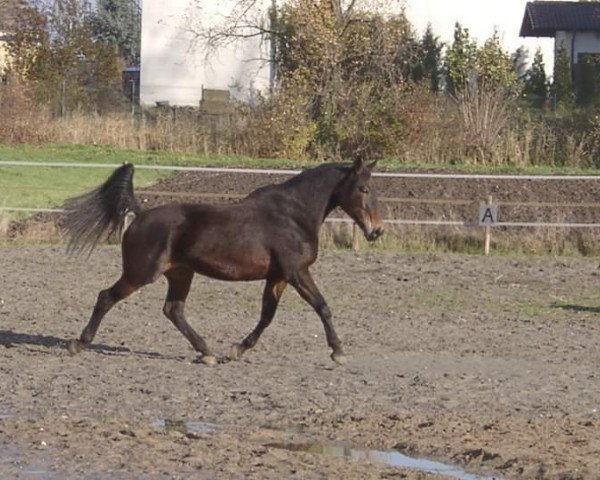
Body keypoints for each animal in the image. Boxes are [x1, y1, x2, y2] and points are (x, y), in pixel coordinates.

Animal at [63, 158, 384, 364]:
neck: (294, 214)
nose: (377, 230)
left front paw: (236, 350)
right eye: (364, 189)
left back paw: (207, 353)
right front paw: (338, 352)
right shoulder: (296, 272)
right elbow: (322, 306)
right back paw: (78, 343)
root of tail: (140, 214)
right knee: (106, 297)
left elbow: (267, 316)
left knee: (173, 310)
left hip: (181, 273)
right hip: (140, 273)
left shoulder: (278, 276)